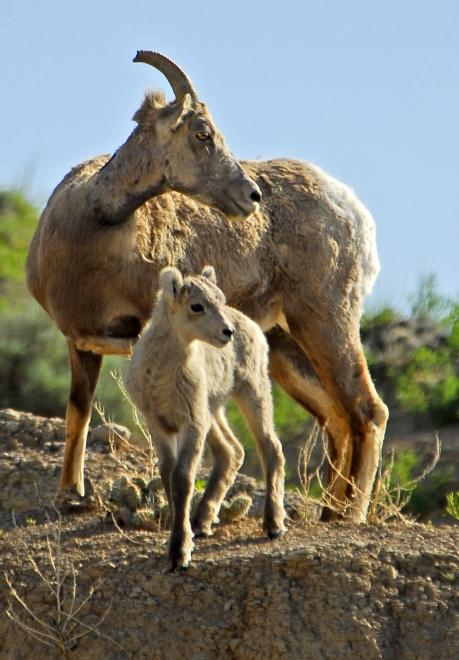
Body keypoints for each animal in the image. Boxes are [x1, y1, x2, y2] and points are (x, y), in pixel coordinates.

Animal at [27, 51, 388, 524]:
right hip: (285, 346)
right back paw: (329, 511)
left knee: (367, 410)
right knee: (338, 418)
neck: (93, 229)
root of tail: (353, 212)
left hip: (326, 320)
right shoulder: (81, 343)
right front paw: (70, 494)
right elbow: (77, 413)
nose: (251, 195)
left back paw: (350, 515)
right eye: (202, 133)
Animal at [124, 266, 286, 568]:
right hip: (214, 410)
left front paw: (180, 552)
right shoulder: (160, 424)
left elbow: (183, 479)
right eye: (196, 306)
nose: (227, 332)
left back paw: (274, 525)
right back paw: (202, 522)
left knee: (270, 448)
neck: (163, 374)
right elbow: (167, 475)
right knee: (231, 451)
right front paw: (182, 538)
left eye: (220, 299)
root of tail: (252, 325)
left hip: (252, 391)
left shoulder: (192, 425)